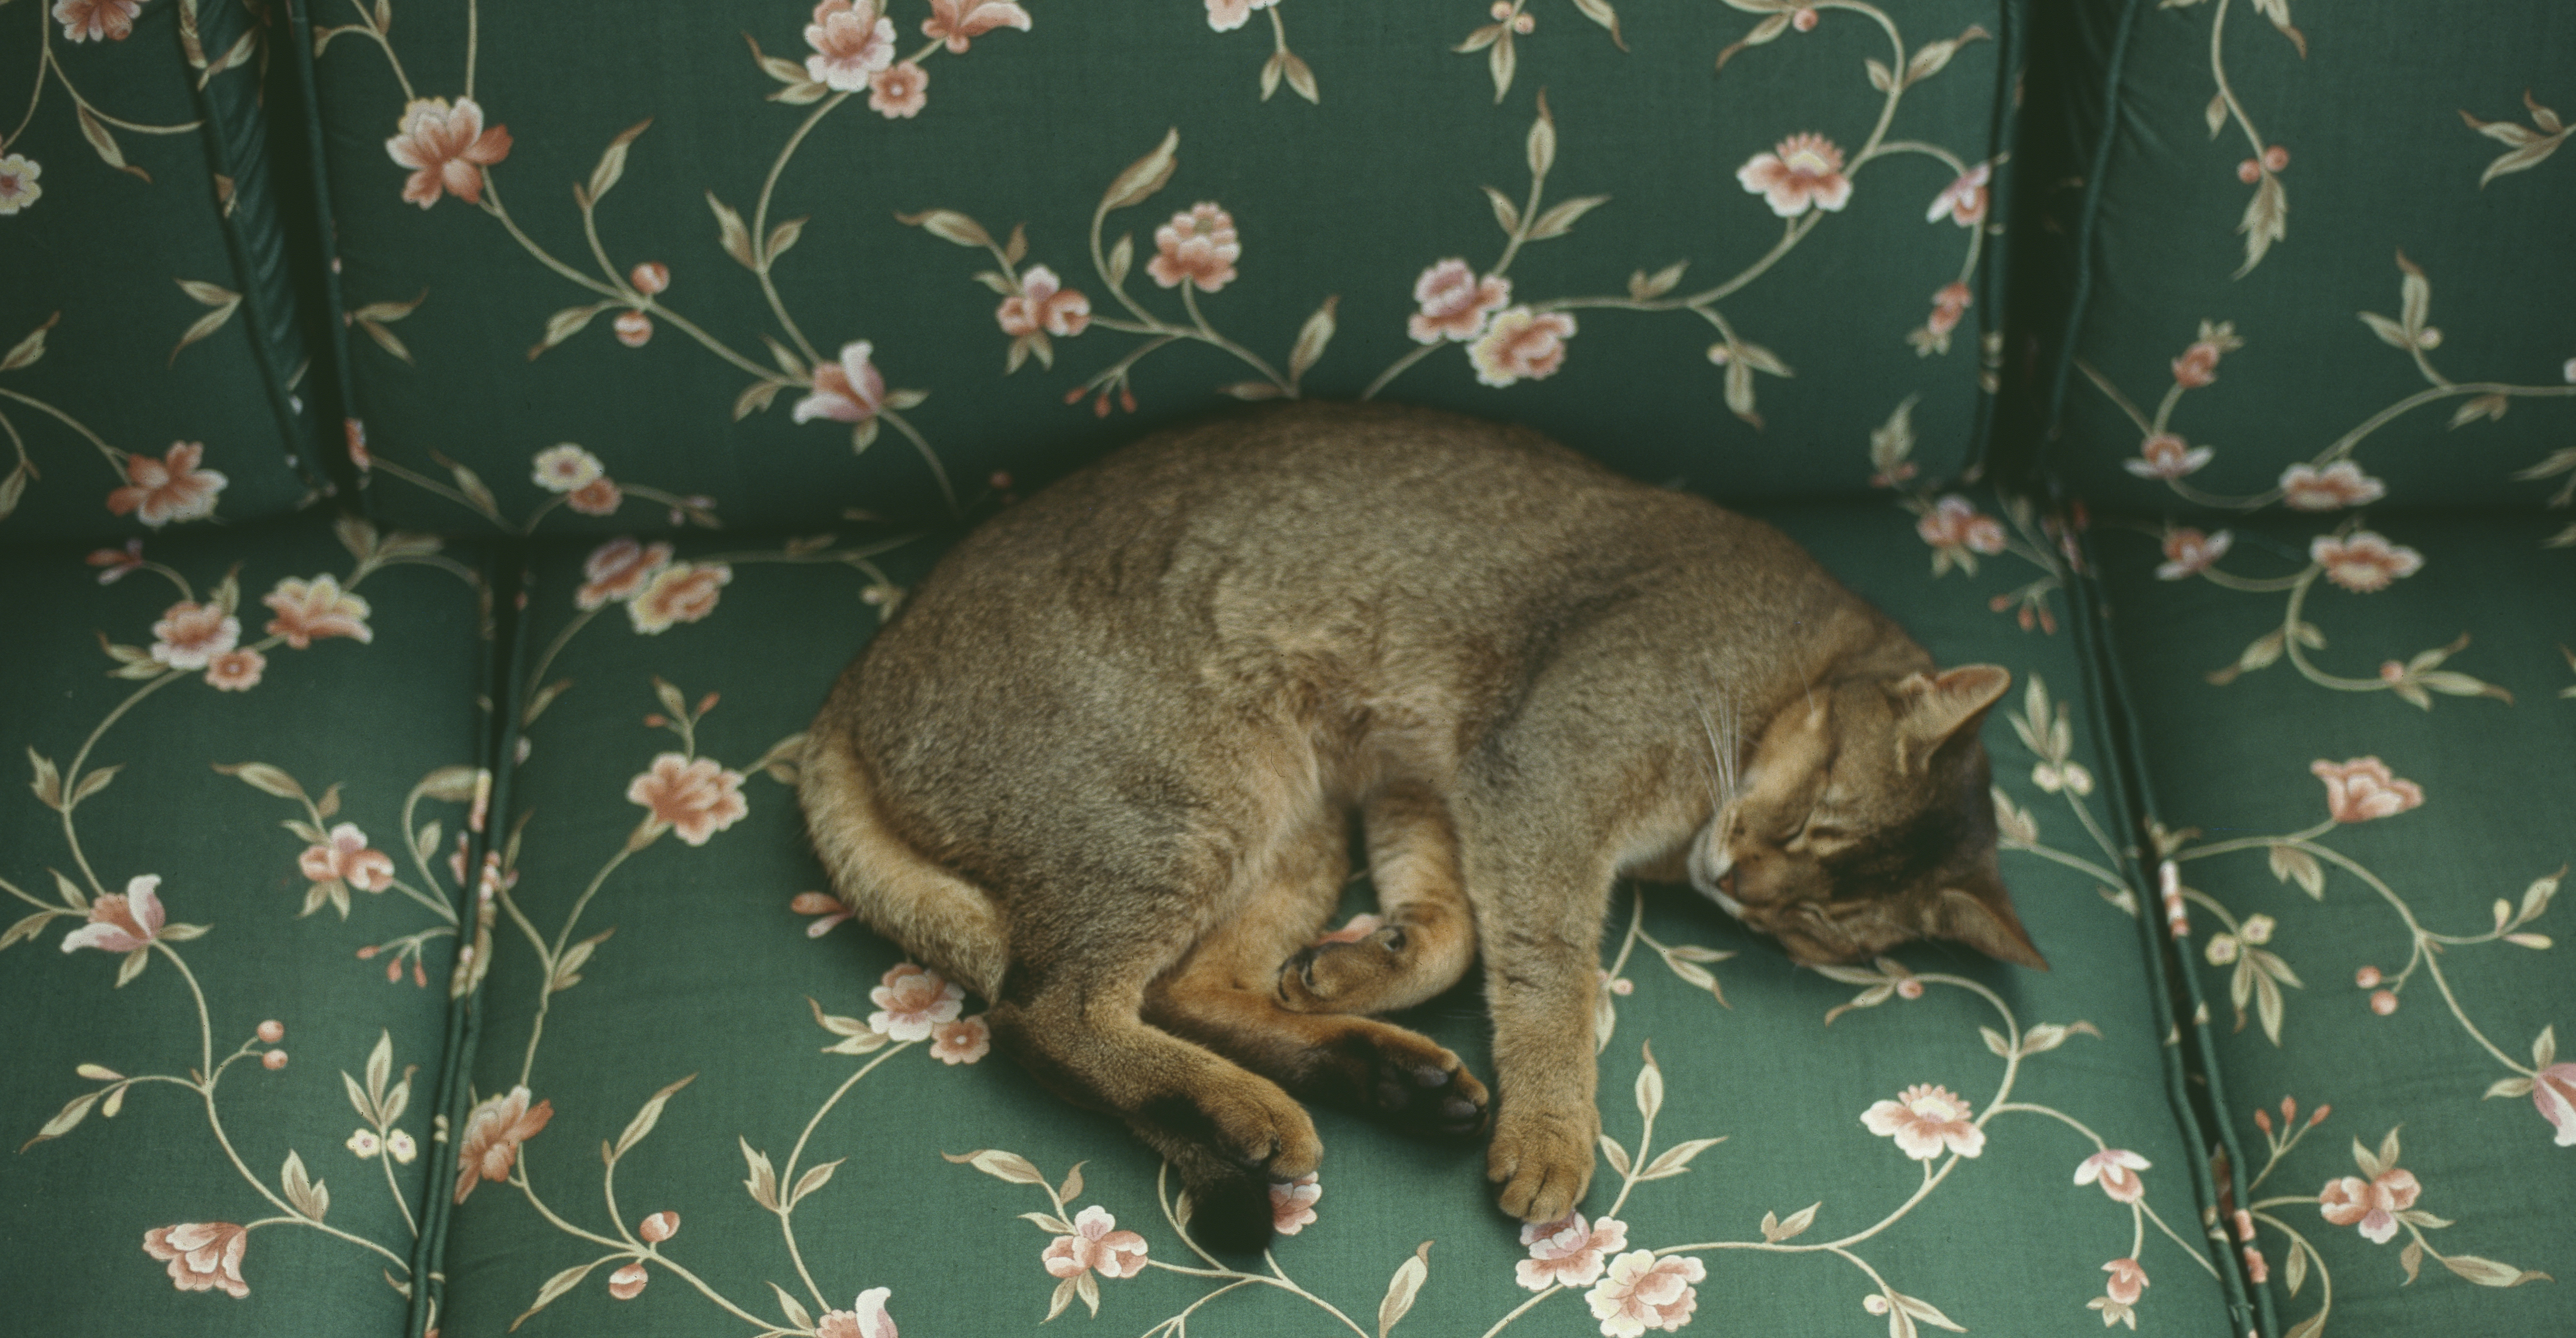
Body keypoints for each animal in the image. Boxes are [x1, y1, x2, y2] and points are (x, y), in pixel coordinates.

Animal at [793, 405, 2040, 1258]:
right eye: (1812, 806)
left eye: (1817, 926)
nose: (1740, 879)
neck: (1792, 666)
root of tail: (845, 695)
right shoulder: (1541, 778)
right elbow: (1553, 974)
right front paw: (1553, 1132)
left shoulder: (1425, 785)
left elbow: (1451, 930)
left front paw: (1371, 964)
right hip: (1201, 795)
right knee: (1040, 1013)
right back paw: (1258, 1111)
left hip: (1293, 817)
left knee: (1184, 989)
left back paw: (1378, 1074)